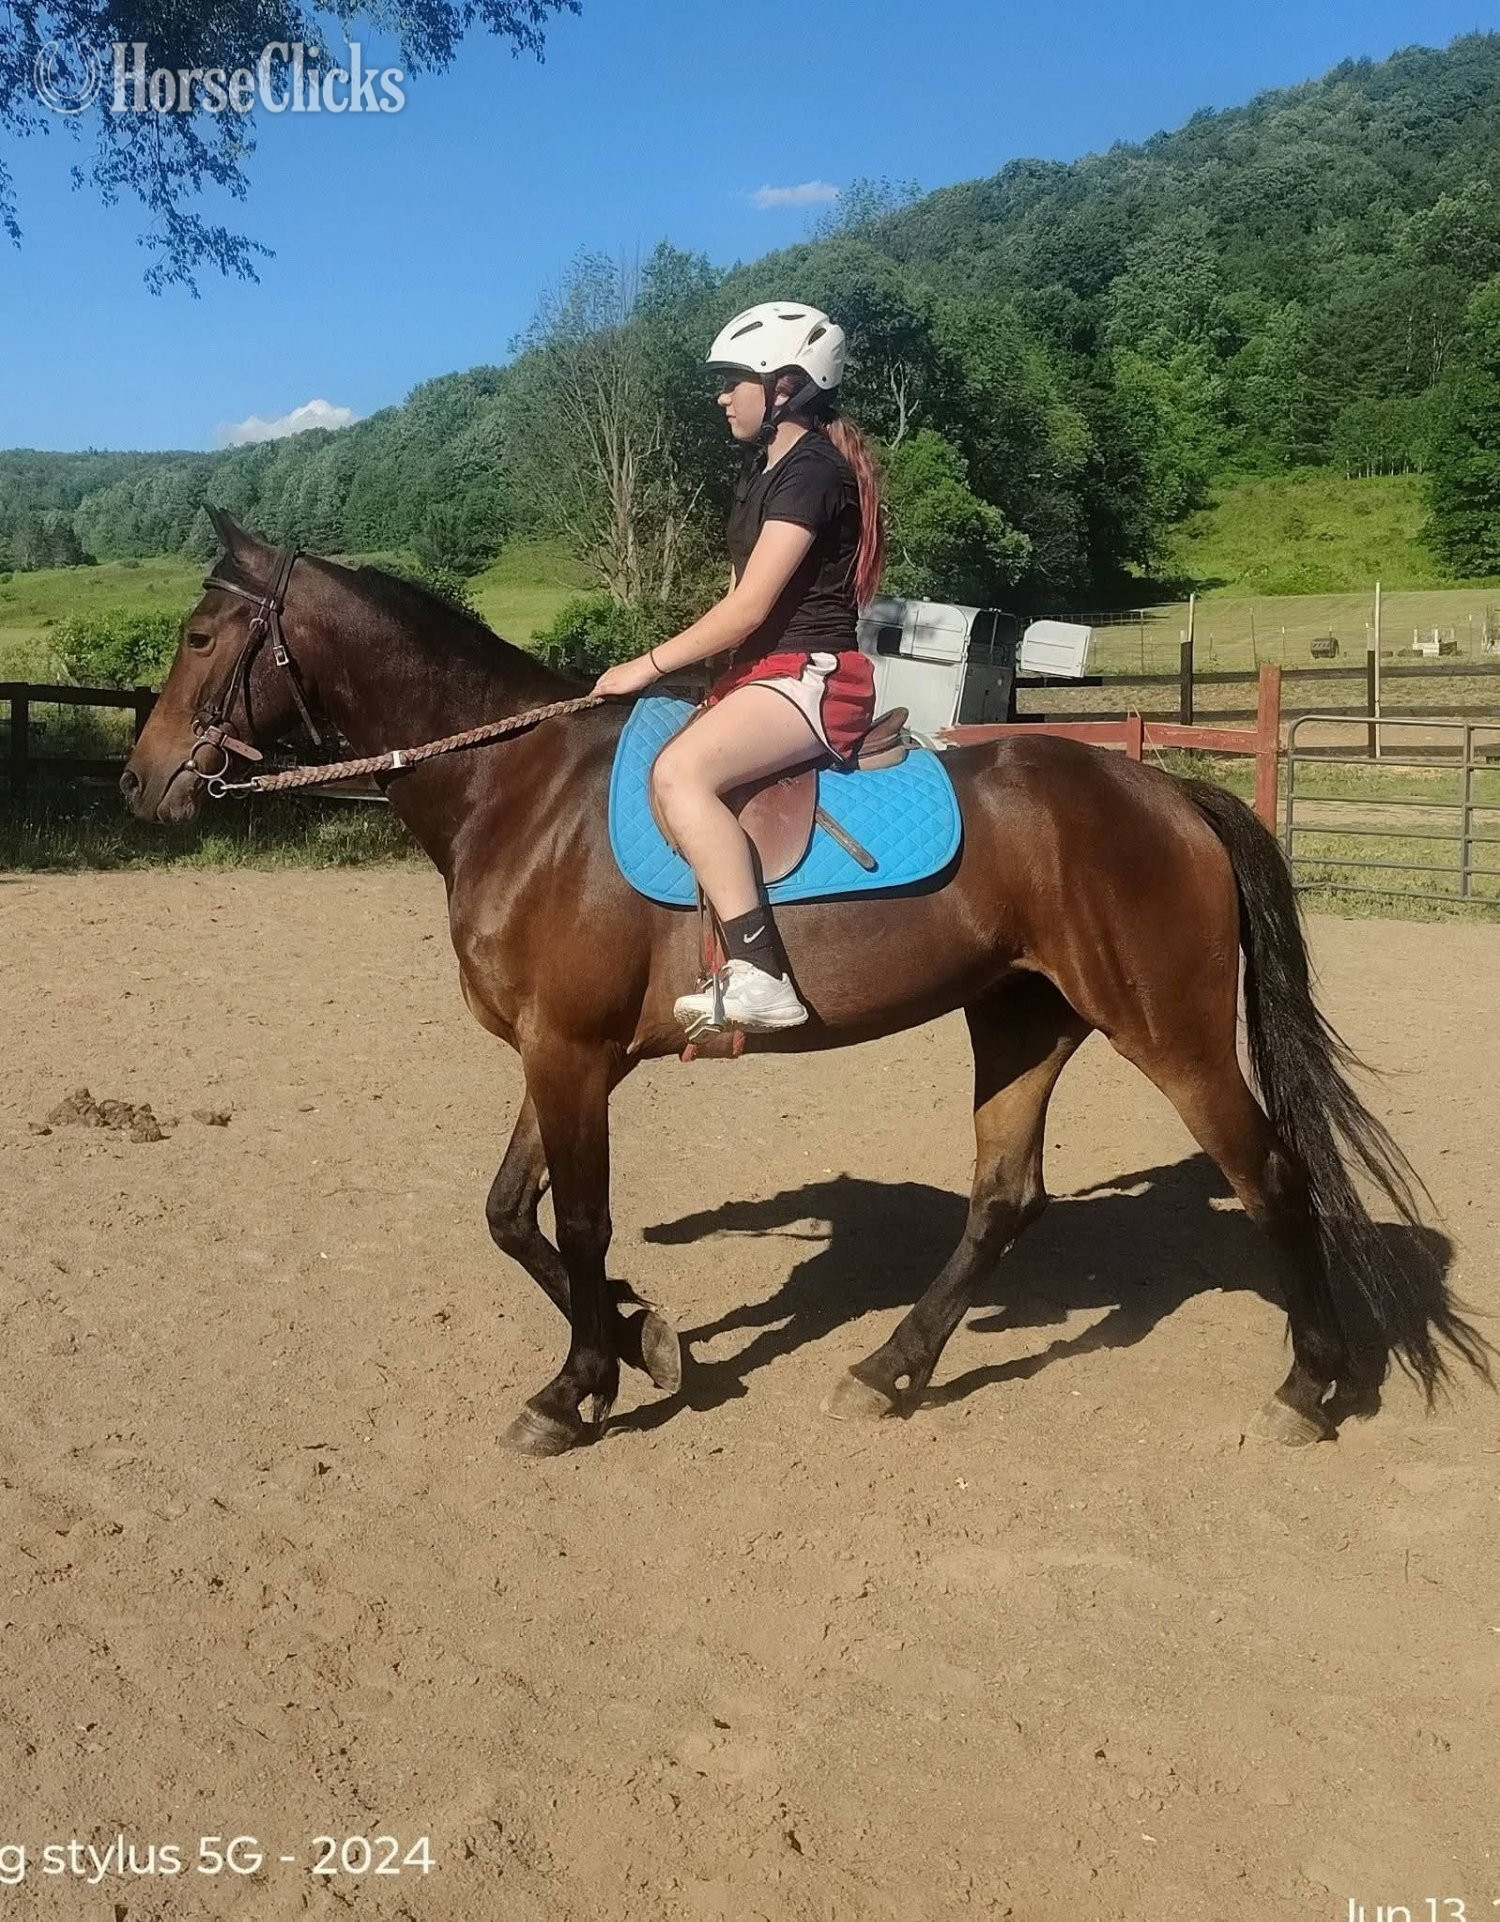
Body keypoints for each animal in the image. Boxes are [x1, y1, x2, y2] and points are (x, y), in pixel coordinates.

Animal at [121, 510, 1486, 1457]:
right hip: (1023, 1018)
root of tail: (1170, 790)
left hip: (1172, 1029)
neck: (520, 792)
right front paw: (645, 1337)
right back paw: (890, 1369)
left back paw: (1309, 1384)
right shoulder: (553, 1050)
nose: (141, 782)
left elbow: (576, 1221)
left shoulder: (570, 1053)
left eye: (198, 636)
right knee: (1004, 1198)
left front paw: (578, 1387)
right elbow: (513, 1215)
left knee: (1271, 1177)